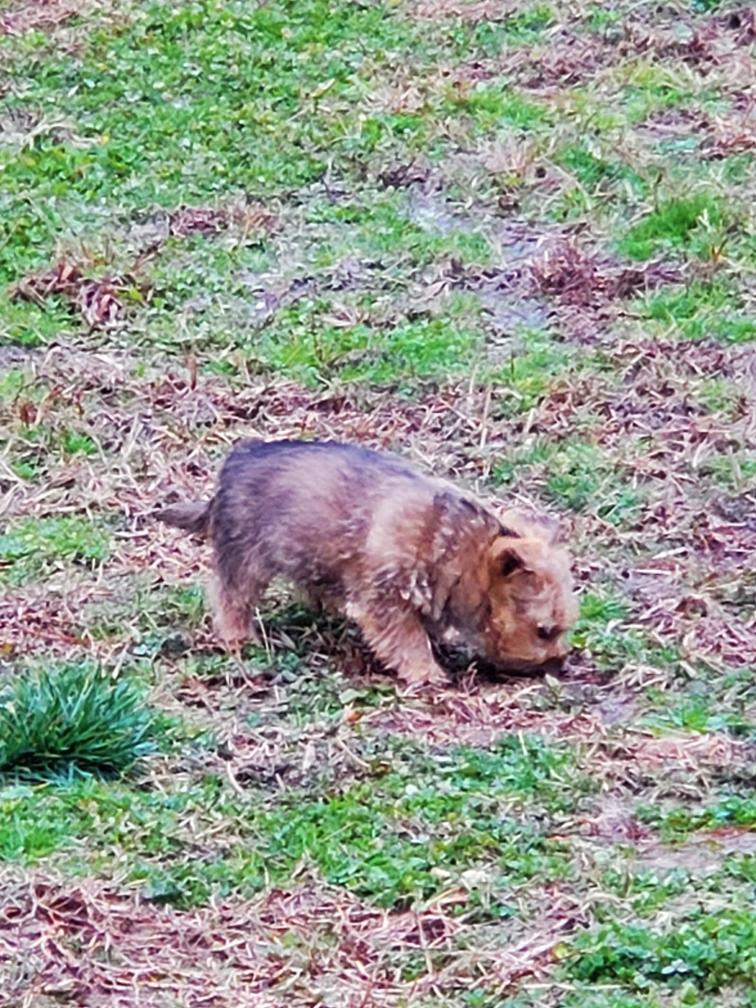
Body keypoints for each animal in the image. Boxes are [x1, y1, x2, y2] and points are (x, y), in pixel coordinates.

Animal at [156, 439, 578, 685]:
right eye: (544, 631)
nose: (560, 664)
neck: (463, 550)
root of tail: (235, 464)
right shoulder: (387, 597)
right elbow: (407, 640)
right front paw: (426, 672)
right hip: (246, 556)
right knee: (230, 597)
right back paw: (238, 637)